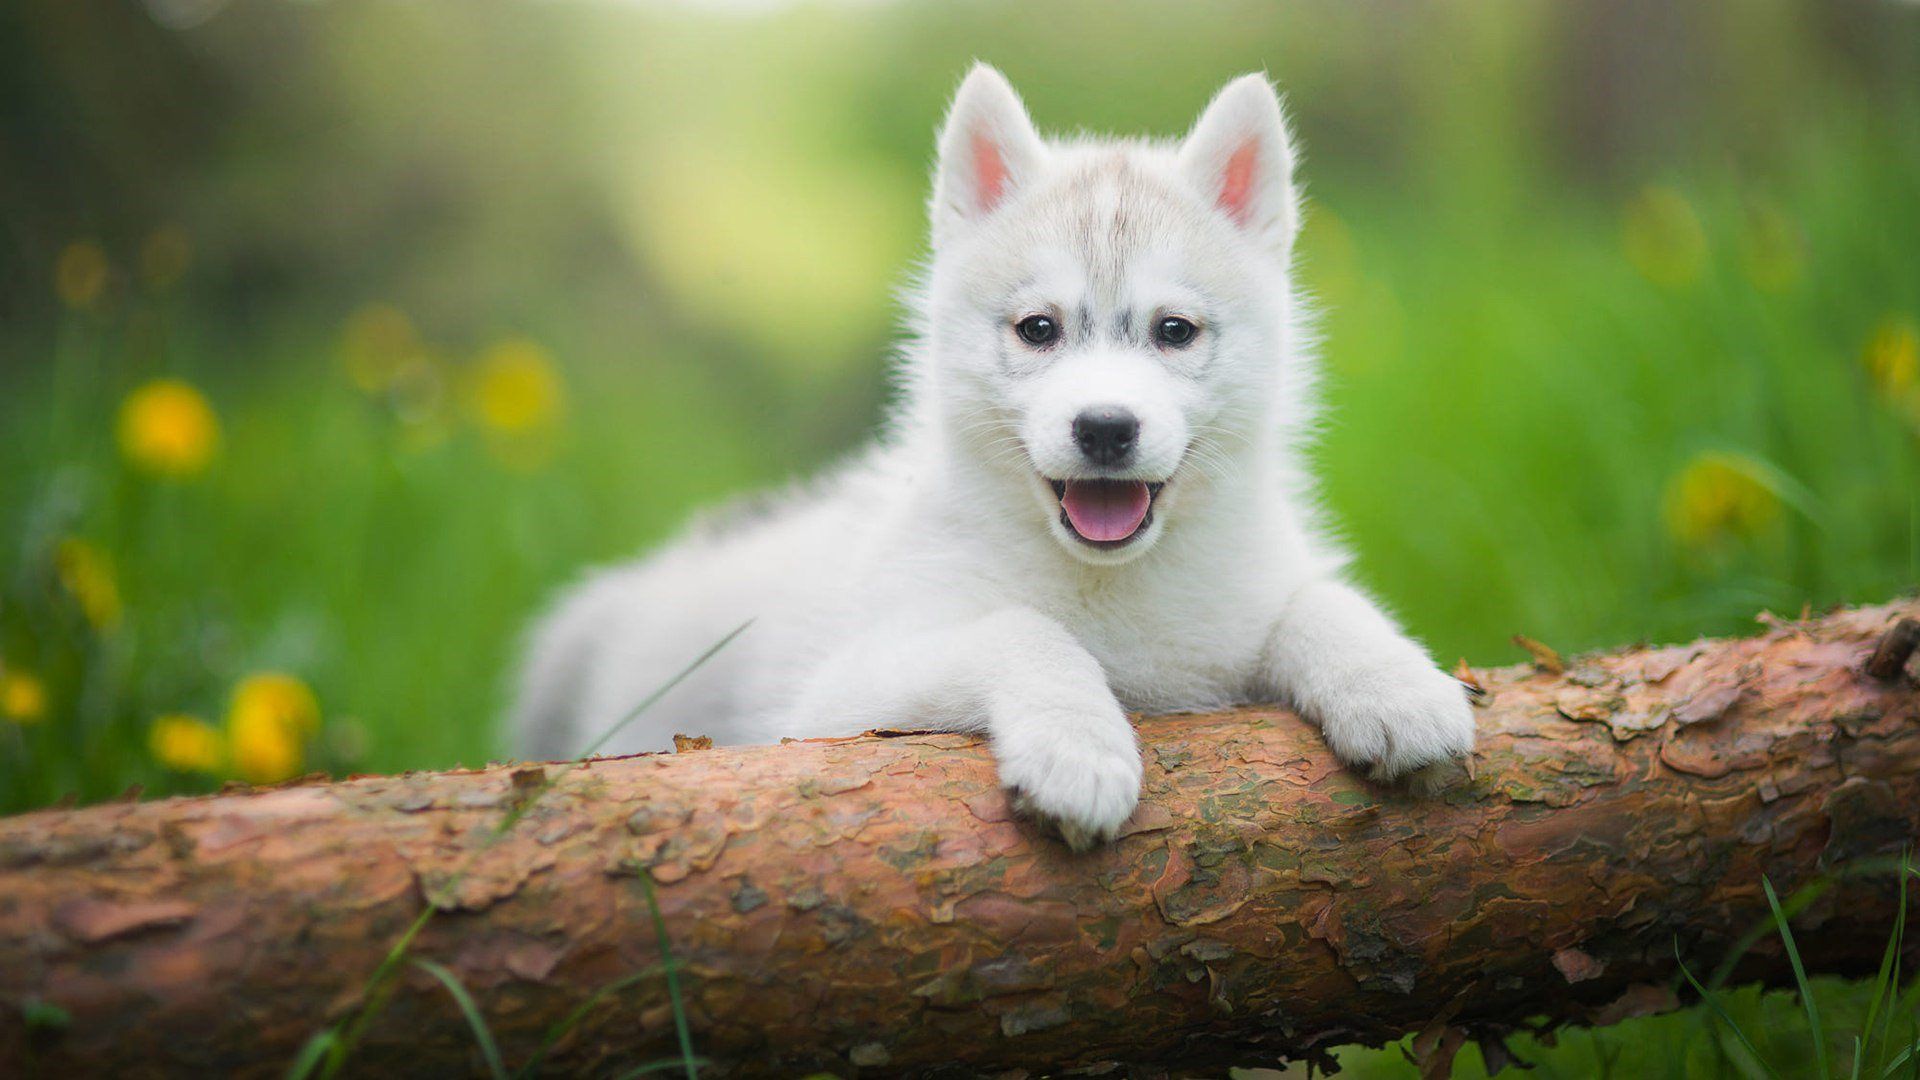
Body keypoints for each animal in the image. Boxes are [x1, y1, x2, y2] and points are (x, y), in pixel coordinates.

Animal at [510, 65, 1466, 849]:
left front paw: (1396, 684)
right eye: (1038, 329)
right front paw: (1079, 745)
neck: (1110, 589)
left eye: (1175, 331)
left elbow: (1320, 601)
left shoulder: (1245, 603)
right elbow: (1021, 630)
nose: (1106, 428)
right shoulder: (840, 696)